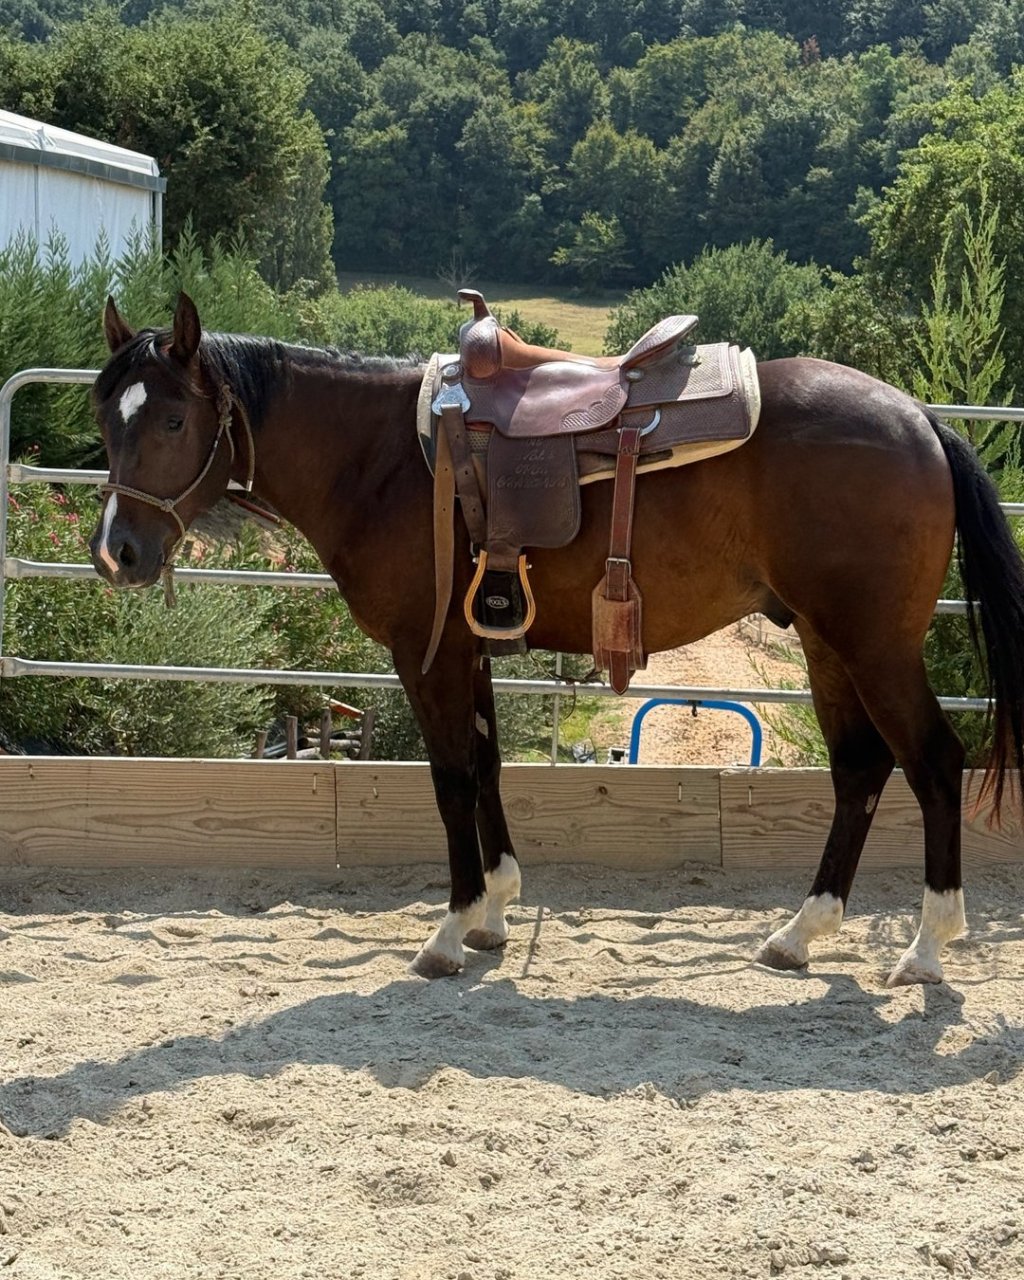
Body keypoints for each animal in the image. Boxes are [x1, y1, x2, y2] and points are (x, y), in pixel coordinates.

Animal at [88, 292, 1024, 986]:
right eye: (106, 420)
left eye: (170, 422)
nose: (116, 553)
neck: (382, 459)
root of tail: (921, 420)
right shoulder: (470, 649)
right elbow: (487, 767)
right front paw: (496, 911)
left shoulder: (425, 652)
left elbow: (451, 781)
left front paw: (449, 931)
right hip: (828, 645)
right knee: (860, 770)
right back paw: (799, 933)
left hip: (873, 646)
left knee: (933, 762)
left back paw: (927, 948)